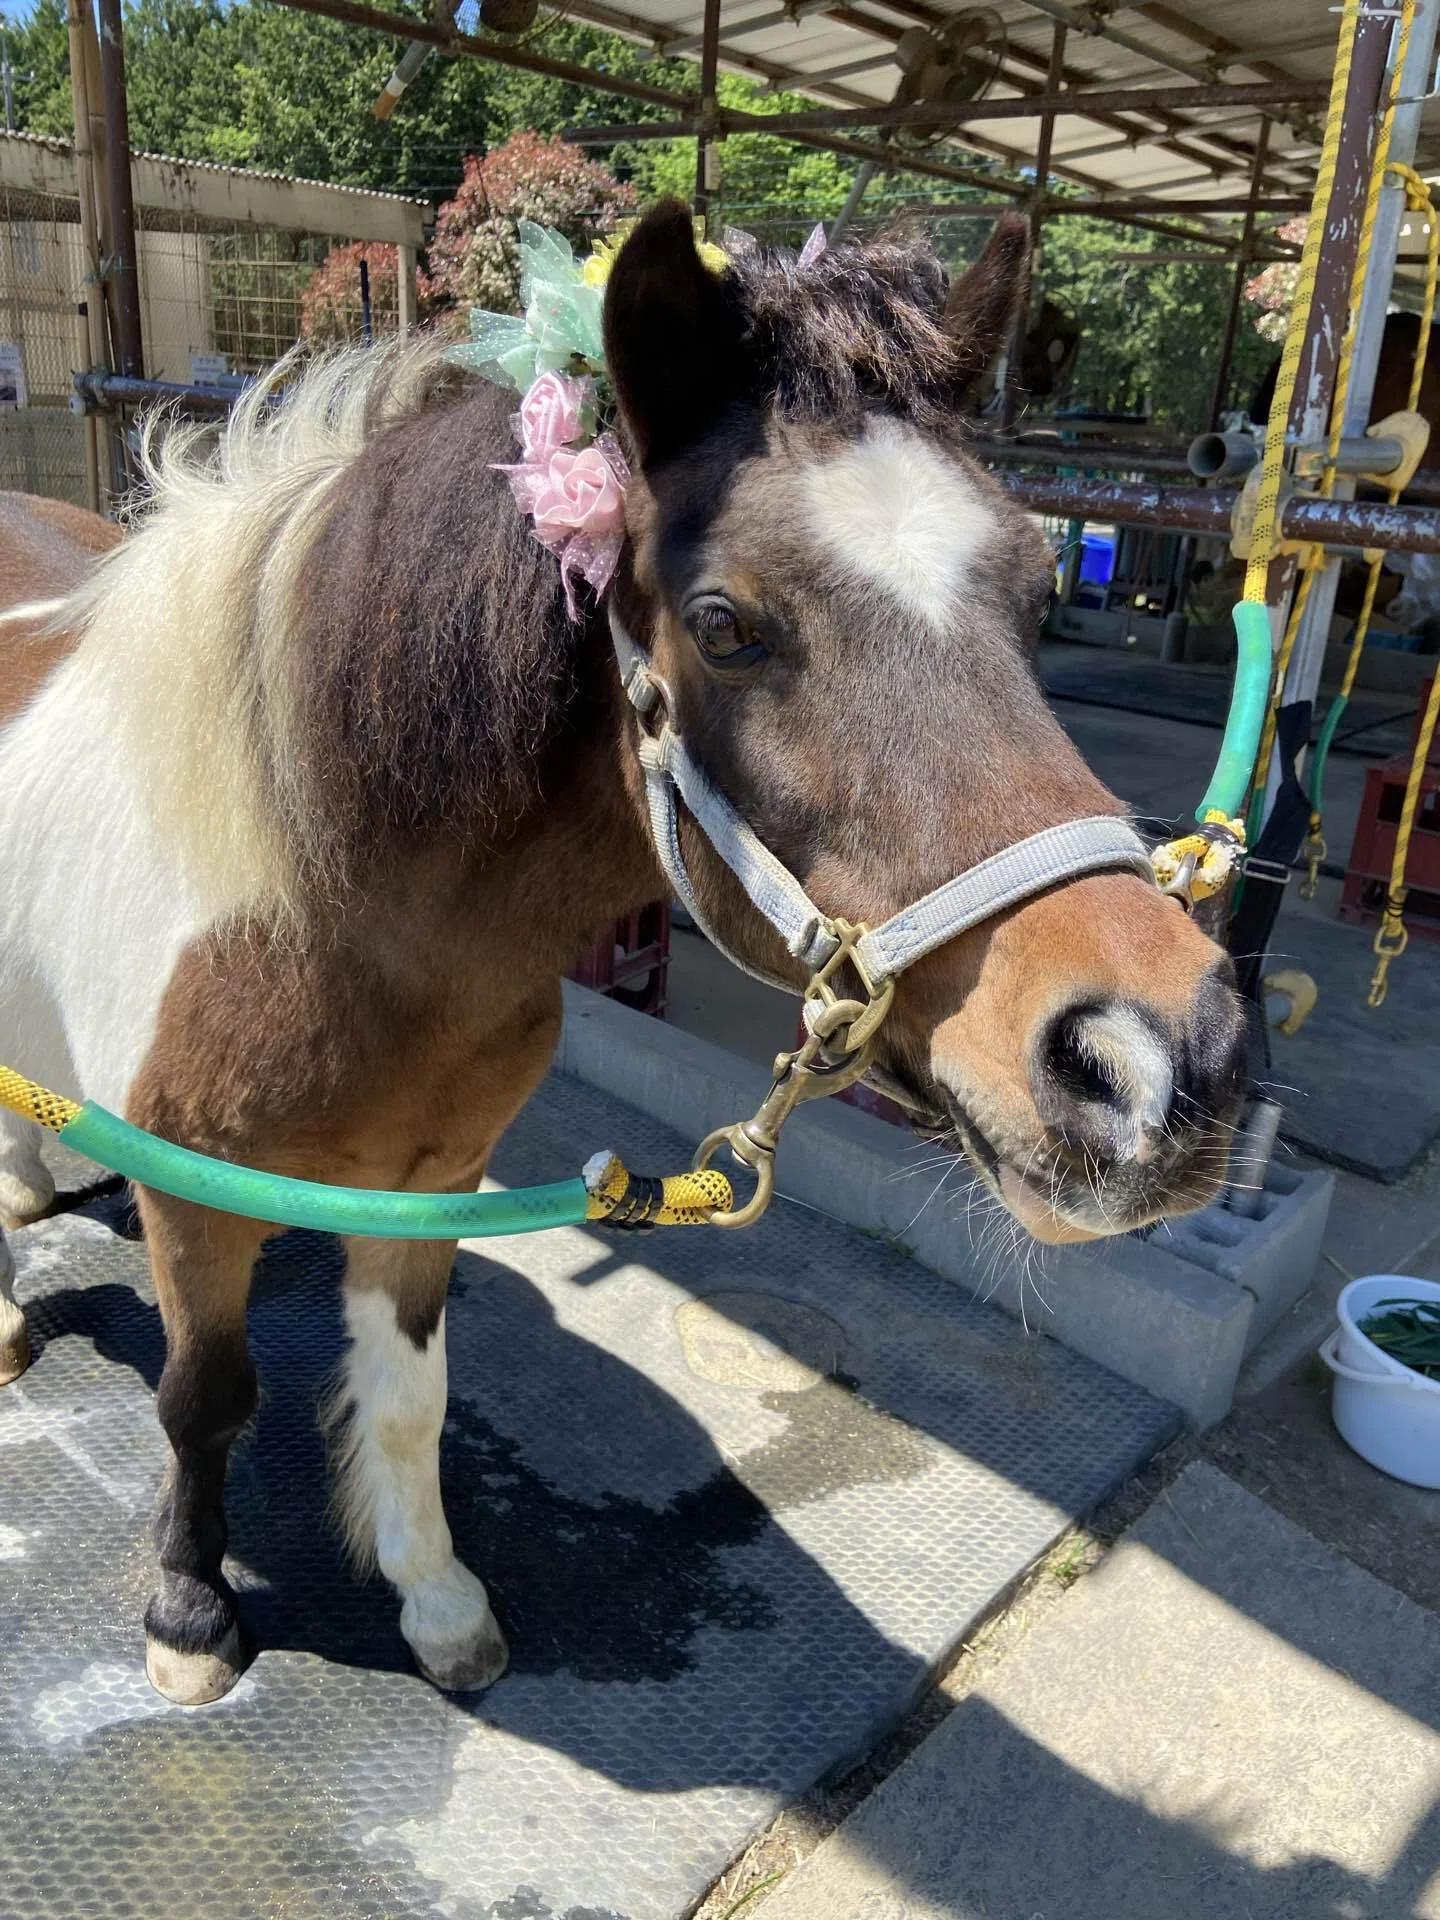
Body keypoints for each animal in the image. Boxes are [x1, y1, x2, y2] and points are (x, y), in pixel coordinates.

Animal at [0, 201, 1245, 1709]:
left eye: (1036, 583)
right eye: (723, 624)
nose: (1163, 1064)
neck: (328, 916)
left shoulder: (433, 1185)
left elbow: (410, 1397)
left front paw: (436, 1601)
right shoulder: (195, 1204)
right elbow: (203, 1401)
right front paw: (190, 1614)